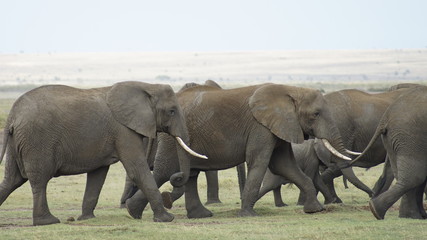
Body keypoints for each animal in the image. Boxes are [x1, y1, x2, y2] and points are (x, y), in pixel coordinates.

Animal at [0, 81, 206, 226]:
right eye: (172, 111)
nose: (176, 178)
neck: (146, 86)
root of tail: (12, 115)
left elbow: (97, 175)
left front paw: (87, 218)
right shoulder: (123, 130)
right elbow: (137, 170)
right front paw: (166, 219)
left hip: (17, 142)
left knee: (12, 180)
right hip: (36, 141)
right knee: (39, 180)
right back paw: (47, 222)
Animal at [125, 81, 352, 219]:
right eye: (316, 114)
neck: (291, 90)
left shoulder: (278, 127)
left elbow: (284, 165)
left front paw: (315, 210)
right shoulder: (260, 127)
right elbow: (259, 162)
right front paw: (249, 215)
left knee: (190, 174)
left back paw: (197, 215)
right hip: (172, 136)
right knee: (165, 171)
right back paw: (136, 212)